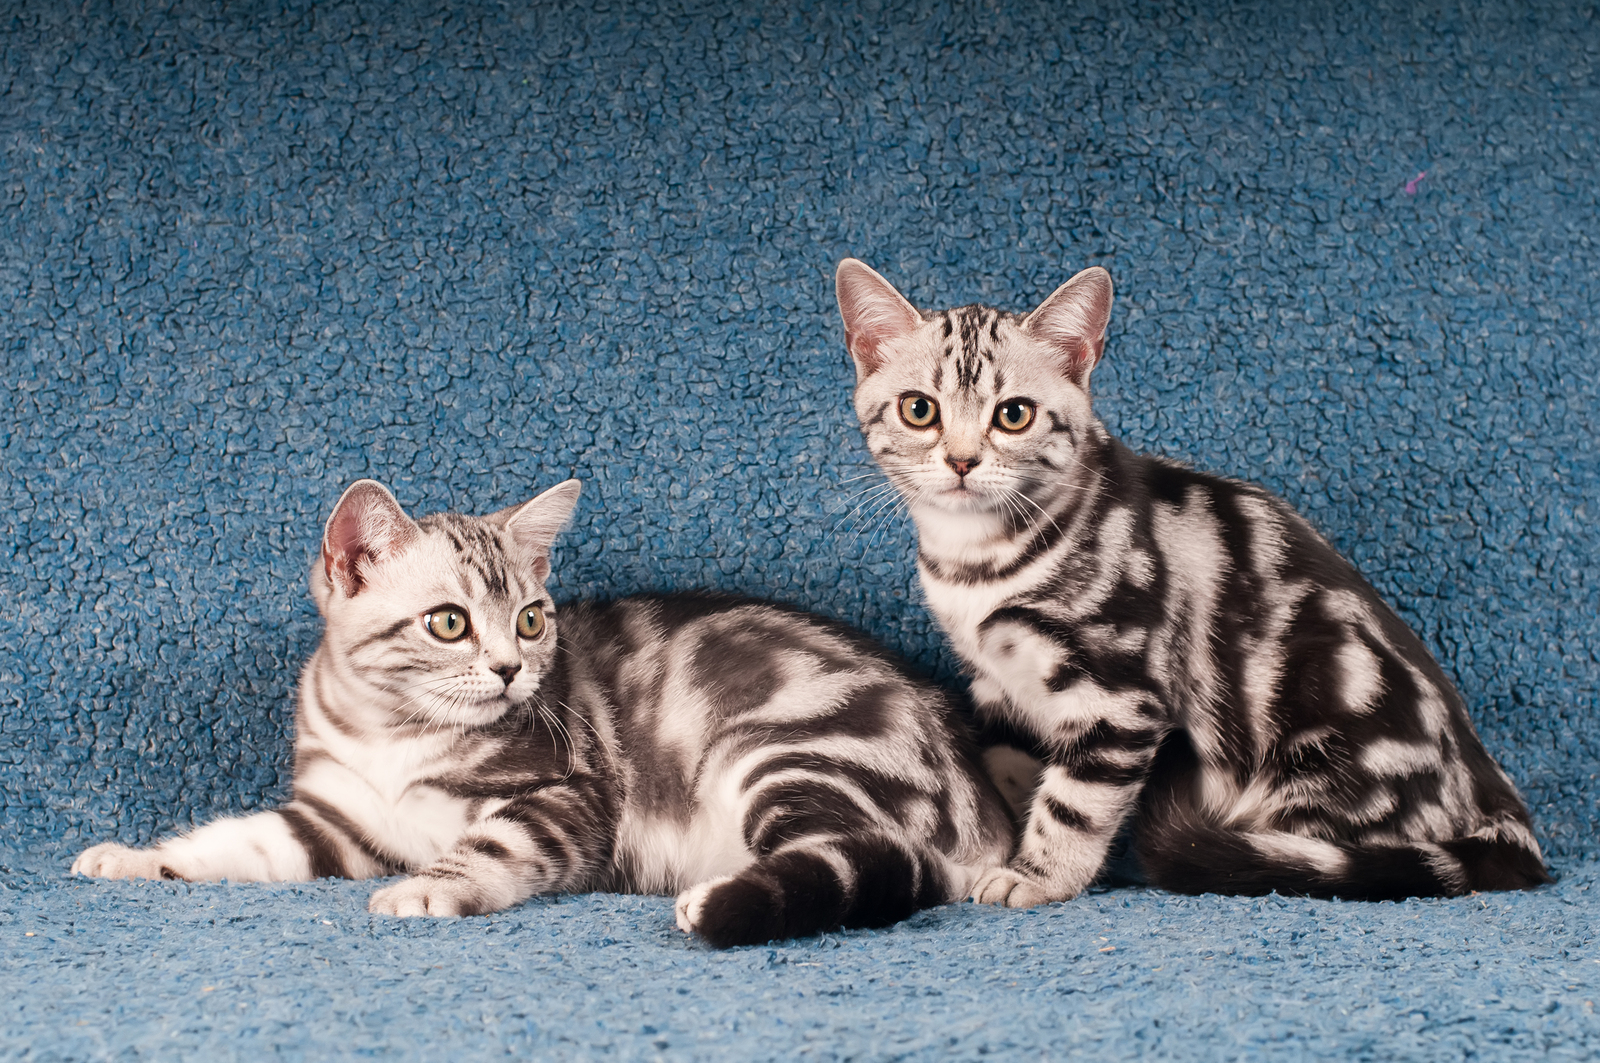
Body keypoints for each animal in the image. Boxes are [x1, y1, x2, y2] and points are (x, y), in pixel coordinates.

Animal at [75, 477, 1011, 941]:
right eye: (449, 621)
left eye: (531, 618)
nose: (509, 670)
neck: (393, 733)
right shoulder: (336, 823)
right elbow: (235, 841)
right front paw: (137, 859)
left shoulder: (567, 795)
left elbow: (492, 843)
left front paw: (432, 885)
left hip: (786, 745)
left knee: (872, 855)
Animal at [838, 256, 1548, 902]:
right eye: (919, 409)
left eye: (1013, 415)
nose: (961, 461)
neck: (978, 561)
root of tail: (1499, 802)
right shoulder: (997, 685)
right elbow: (1011, 774)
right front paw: (1004, 848)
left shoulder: (1120, 692)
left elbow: (1074, 802)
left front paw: (1038, 877)